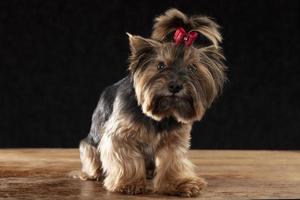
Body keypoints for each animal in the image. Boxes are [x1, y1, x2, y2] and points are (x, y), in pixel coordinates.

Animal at [76, 8, 226, 197]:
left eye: (192, 68)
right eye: (161, 66)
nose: (175, 85)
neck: (161, 115)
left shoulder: (173, 139)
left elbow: (172, 161)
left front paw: (180, 184)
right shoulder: (121, 135)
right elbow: (126, 159)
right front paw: (129, 183)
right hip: (88, 146)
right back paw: (93, 174)